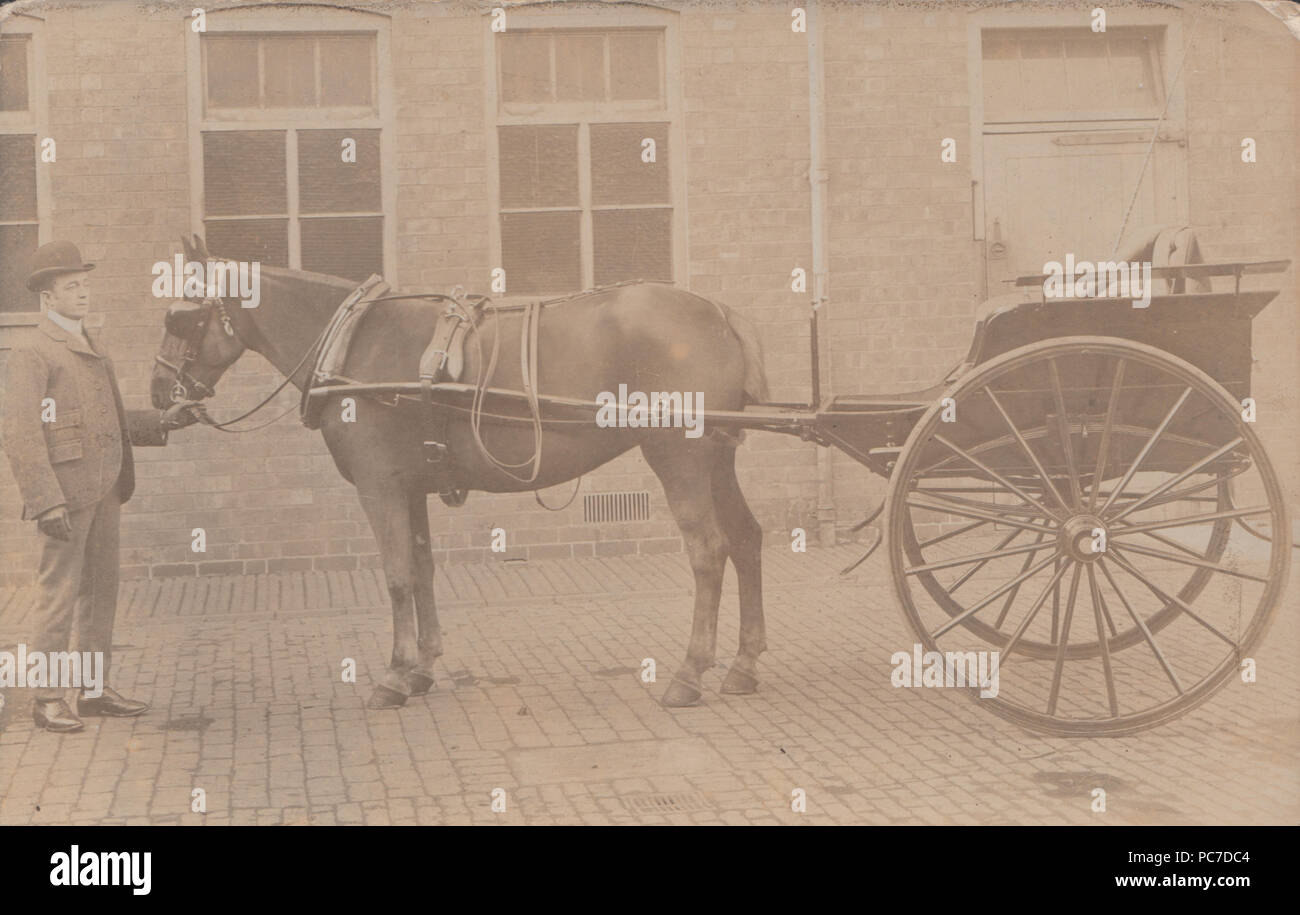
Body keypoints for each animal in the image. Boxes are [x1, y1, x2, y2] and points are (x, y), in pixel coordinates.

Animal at [149, 233, 769, 707]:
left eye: (181, 316)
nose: (158, 391)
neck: (354, 344)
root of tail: (718, 313)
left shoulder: (379, 487)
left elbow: (397, 575)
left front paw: (394, 675)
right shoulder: (411, 487)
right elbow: (422, 570)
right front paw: (422, 668)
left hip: (679, 456)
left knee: (709, 551)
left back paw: (689, 673)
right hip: (717, 457)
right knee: (745, 539)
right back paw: (744, 665)